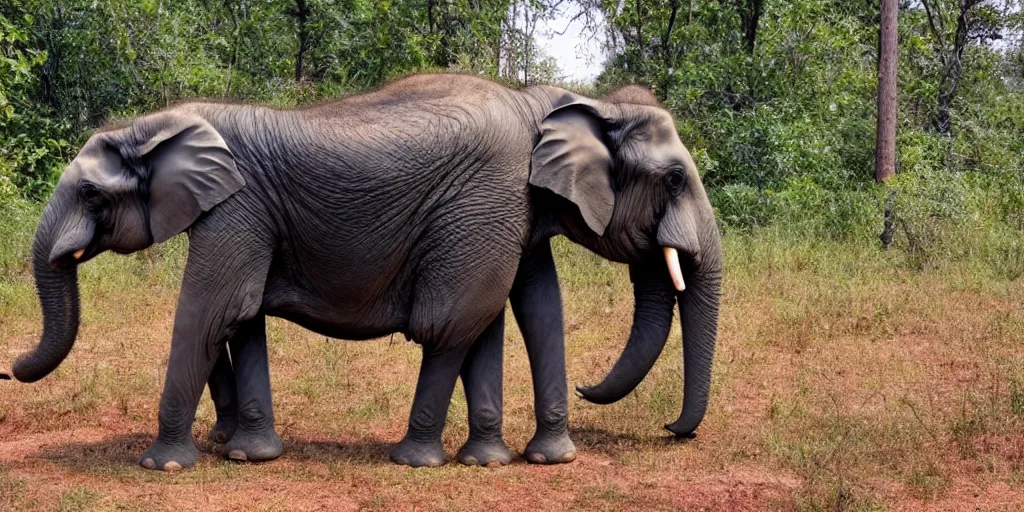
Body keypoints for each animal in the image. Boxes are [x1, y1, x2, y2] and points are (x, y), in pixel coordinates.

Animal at [12, 73, 724, 471]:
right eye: (674, 180)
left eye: (91, 196)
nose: (8, 370)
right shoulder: (243, 210)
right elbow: (232, 312)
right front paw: (213, 459)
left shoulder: (501, 205)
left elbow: (521, 309)